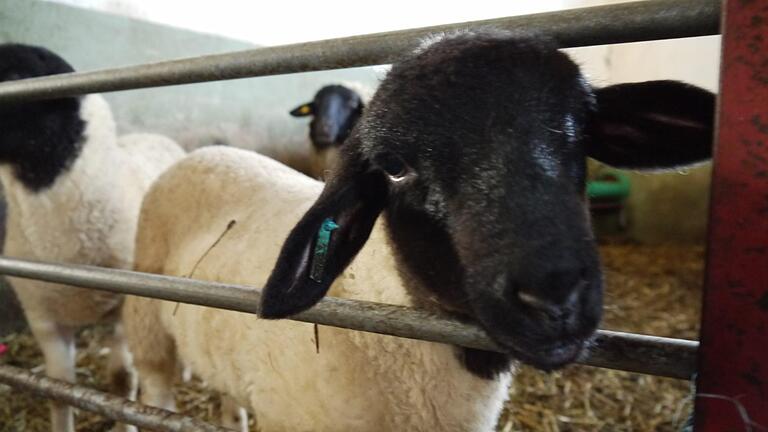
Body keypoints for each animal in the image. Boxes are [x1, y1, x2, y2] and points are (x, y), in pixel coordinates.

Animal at [121, 30, 712, 432]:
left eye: (580, 135)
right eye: (396, 168)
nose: (555, 297)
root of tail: (205, 152)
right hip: (148, 325)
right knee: (156, 387)